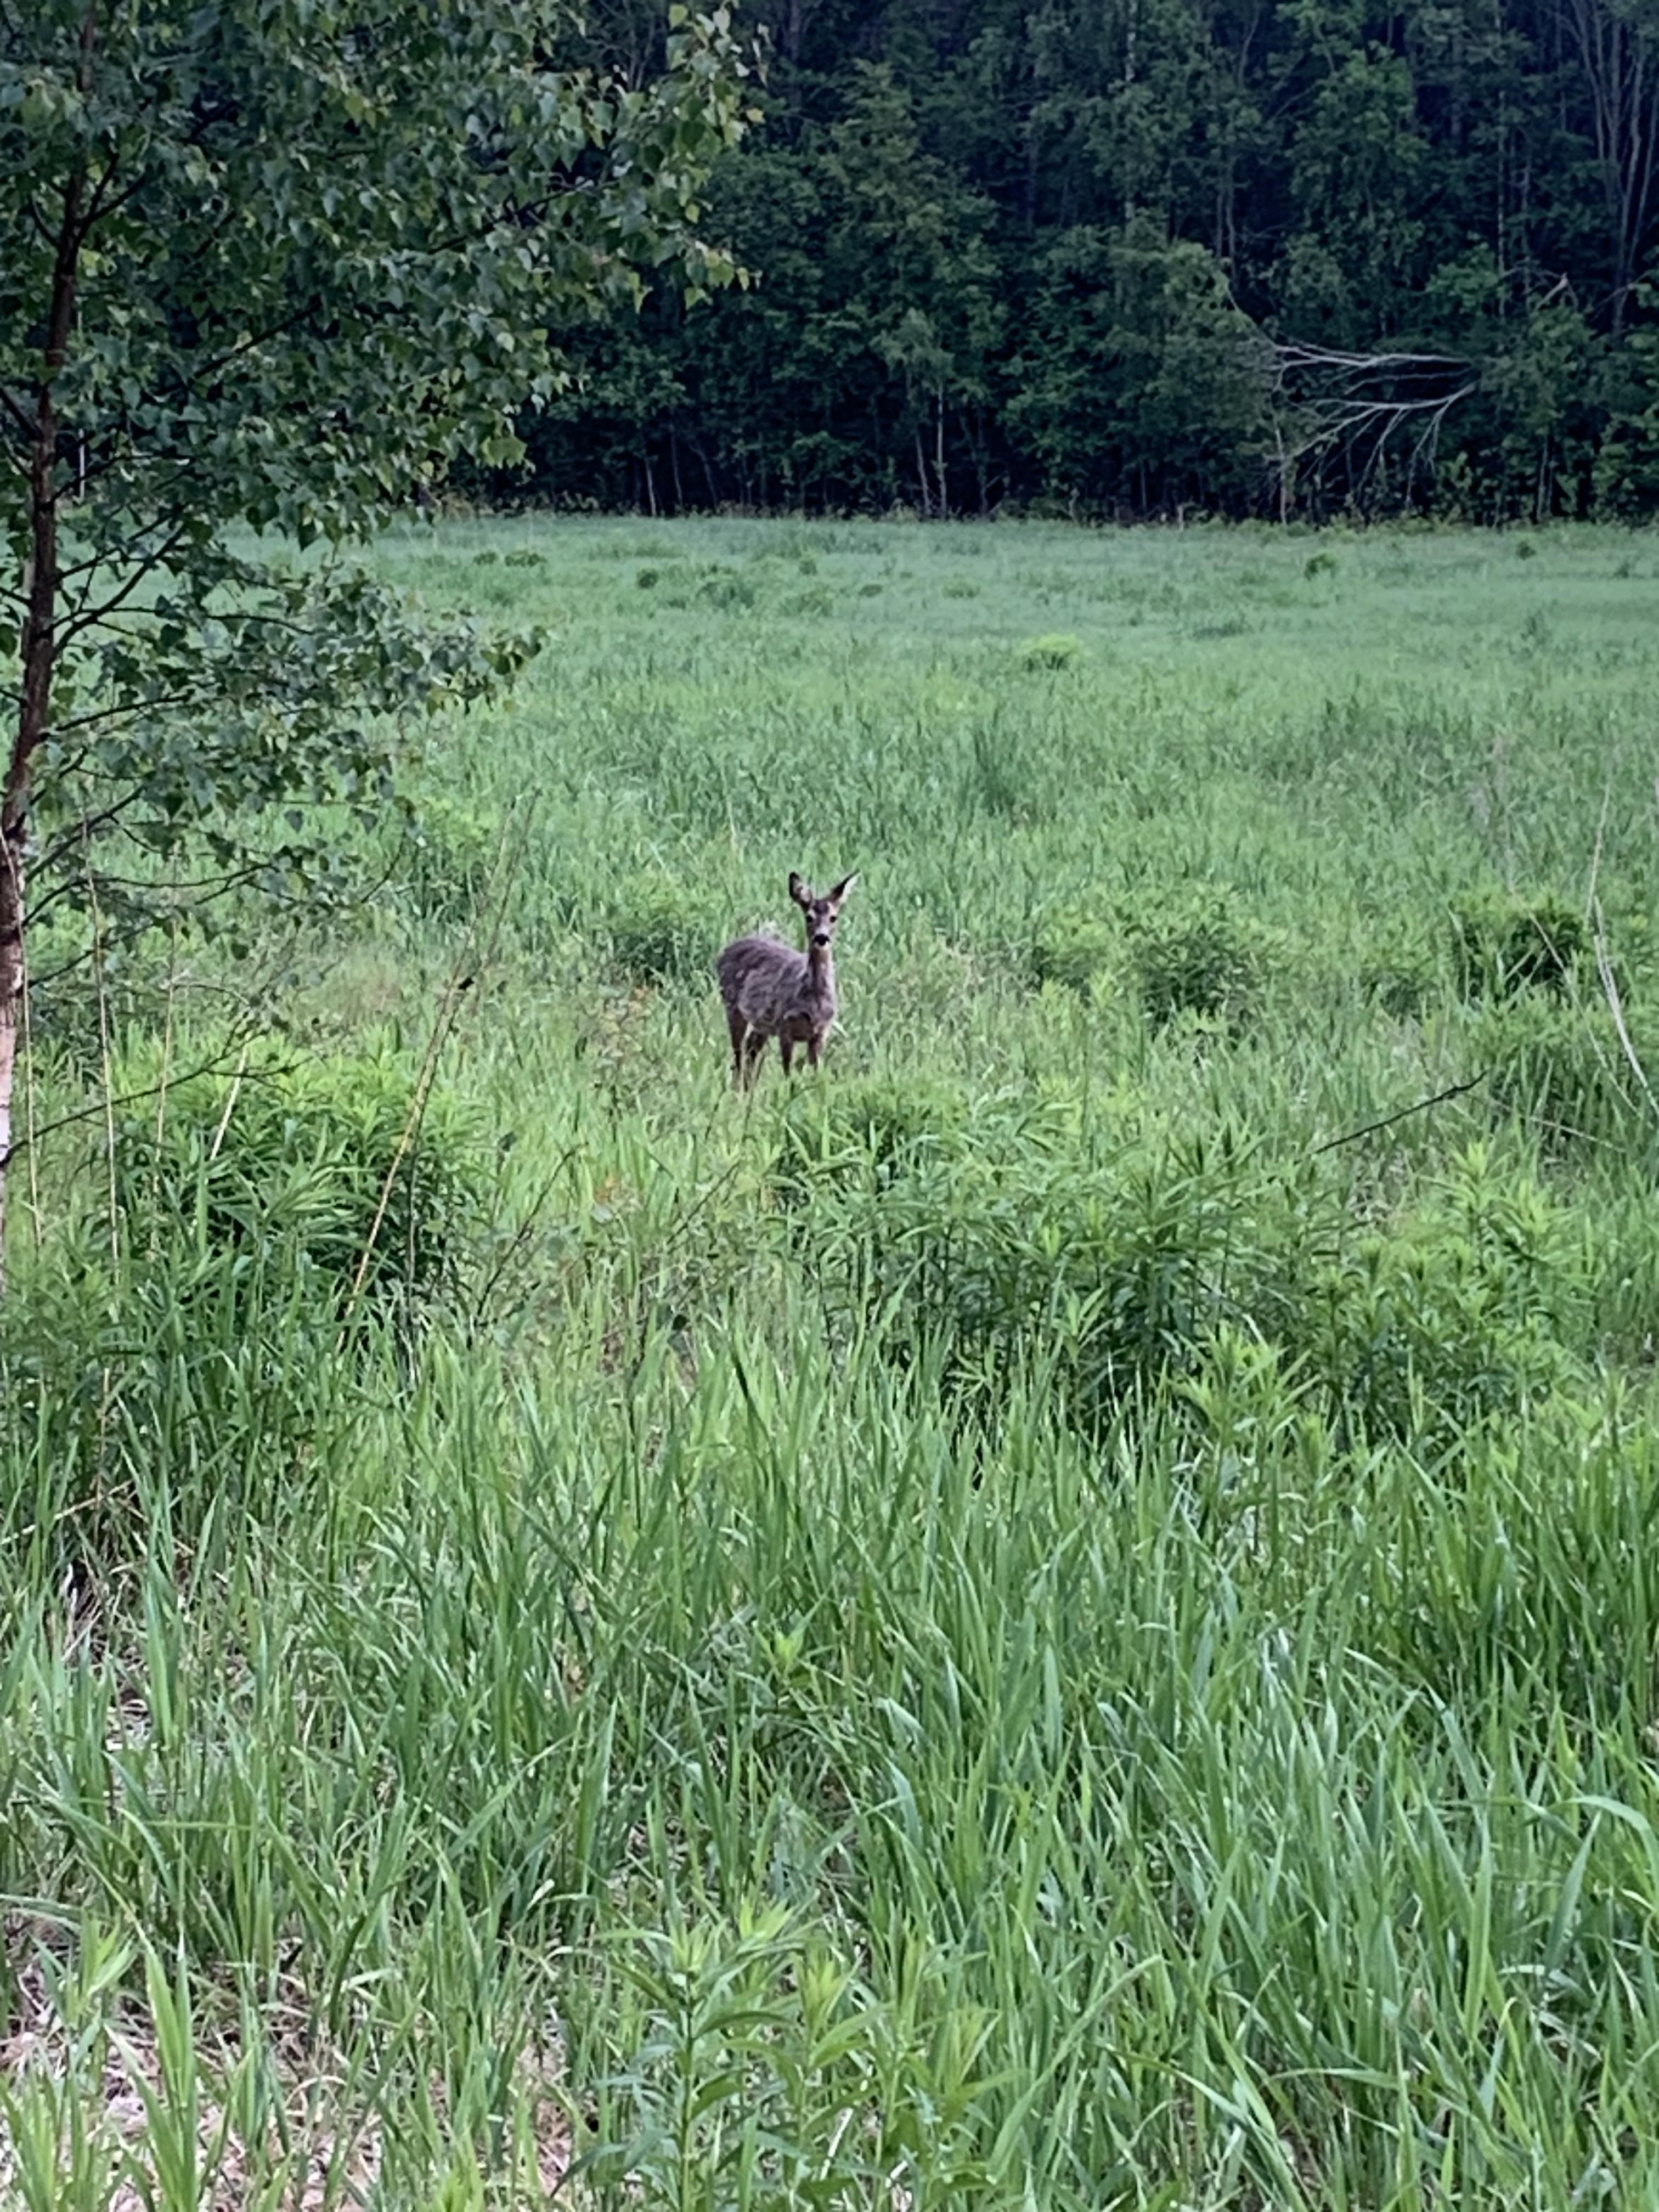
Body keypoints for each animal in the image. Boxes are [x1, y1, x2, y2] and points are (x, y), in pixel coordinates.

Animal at [717, 871, 858, 1085]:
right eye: (809, 917)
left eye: (834, 918)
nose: (822, 938)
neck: (814, 1002)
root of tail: (724, 951)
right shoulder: (785, 1026)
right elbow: (788, 1072)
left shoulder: (821, 1033)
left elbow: (816, 1074)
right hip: (732, 1006)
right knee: (738, 1054)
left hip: (762, 1023)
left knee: (750, 1049)